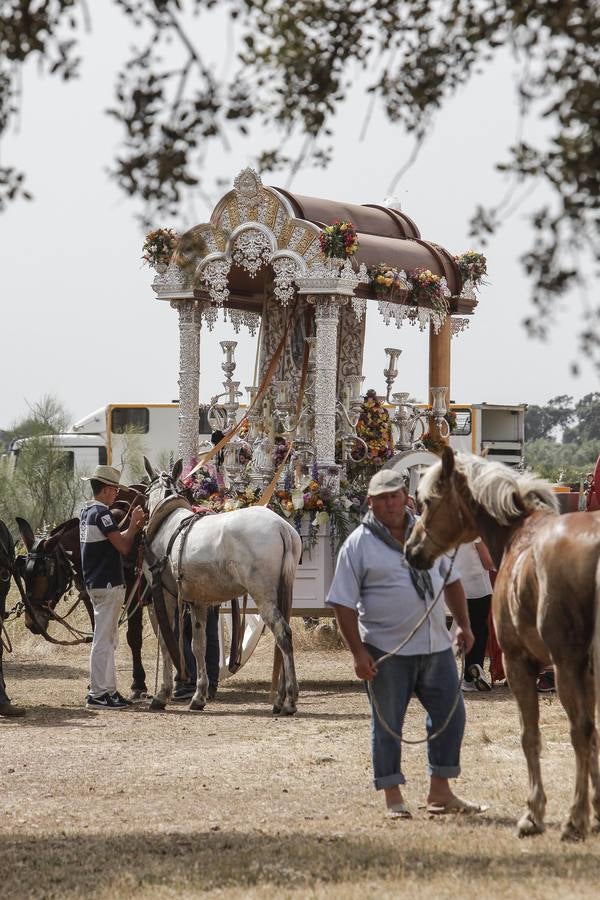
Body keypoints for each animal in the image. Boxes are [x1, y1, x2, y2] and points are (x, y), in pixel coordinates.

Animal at [143, 460, 302, 712]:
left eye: (145, 491)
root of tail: (281, 527)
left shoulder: (164, 597)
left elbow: (167, 643)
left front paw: (162, 694)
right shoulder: (198, 601)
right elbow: (199, 646)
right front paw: (199, 695)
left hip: (263, 596)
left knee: (283, 634)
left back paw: (289, 699)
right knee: (282, 639)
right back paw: (281, 698)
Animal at [406, 450, 600, 844]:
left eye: (428, 501)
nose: (410, 549)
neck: (519, 535)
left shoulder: (519, 663)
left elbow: (531, 736)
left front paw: (534, 814)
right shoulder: (586, 671)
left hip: (565, 667)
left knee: (580, 730)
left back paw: (574, 820)